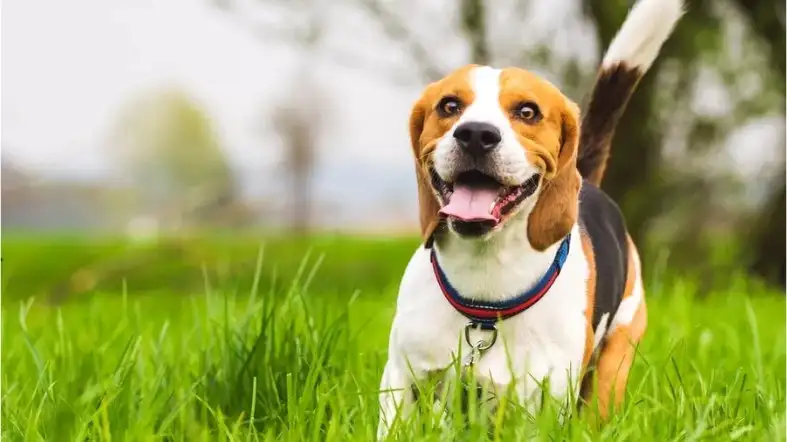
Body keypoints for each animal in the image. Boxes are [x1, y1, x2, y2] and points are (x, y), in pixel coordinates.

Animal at [378, 0, 684, 436]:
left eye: (527, 111)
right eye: (449, 106)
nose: (475, 134)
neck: (485, 296)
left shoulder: (548, 399)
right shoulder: (401, 380)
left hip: (613, 361)